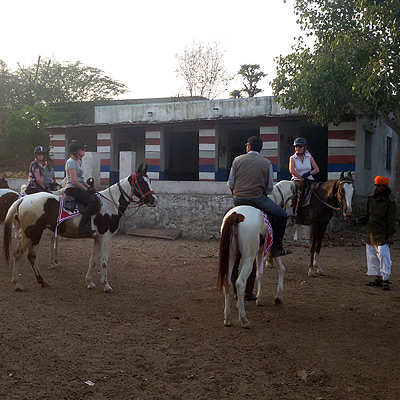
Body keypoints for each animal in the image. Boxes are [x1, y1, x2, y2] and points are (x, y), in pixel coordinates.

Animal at [4, 164, 159, 292]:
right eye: (141, 182)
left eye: (150, 181)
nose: (154, 200)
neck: (110, 203)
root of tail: (24, 199)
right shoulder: (105, 237)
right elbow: (104, 261)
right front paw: (106, 285)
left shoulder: (97, 238)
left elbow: (93, 261)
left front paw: (90, 282)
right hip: (30, 233)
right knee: (17, 254)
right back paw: (18, 284)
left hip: (36, 234)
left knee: (31, 256)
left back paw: (42, 281)